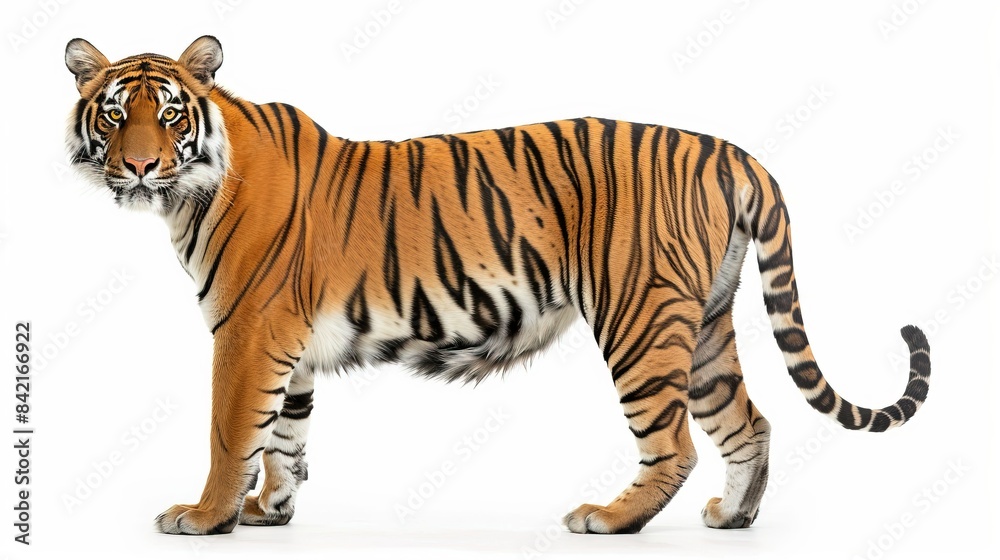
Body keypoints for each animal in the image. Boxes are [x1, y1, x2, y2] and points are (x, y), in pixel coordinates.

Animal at [64, 36, 931, 536]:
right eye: (113, 116)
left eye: (170, 115)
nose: (139, 166)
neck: (192, 188)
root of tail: (731, 151)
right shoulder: (291, 344)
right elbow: (285, 436)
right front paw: (268, 511)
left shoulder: (247, 331)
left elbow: (229, 432)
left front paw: (204, 515)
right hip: (708, 322)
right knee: (750, 422)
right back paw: (734, 516)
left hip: (640, 318)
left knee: (676, 442)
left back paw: (608, 518)